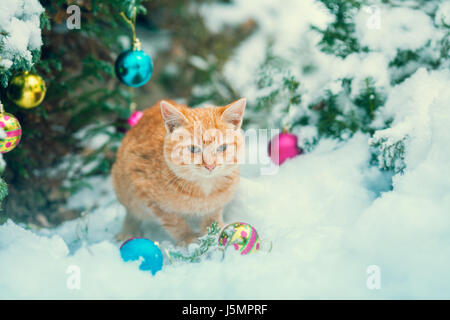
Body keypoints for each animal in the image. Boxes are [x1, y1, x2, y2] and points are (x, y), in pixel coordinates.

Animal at [112, 99, 246, 244]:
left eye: (222, 147)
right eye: (193, 149)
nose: (210, 166)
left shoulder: (216, 205)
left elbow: (212, 217)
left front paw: (215, 234)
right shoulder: (143, 186)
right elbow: (174, 222)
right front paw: (188, 238)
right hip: (123, 185)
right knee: (132, 211)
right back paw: (128, 230)